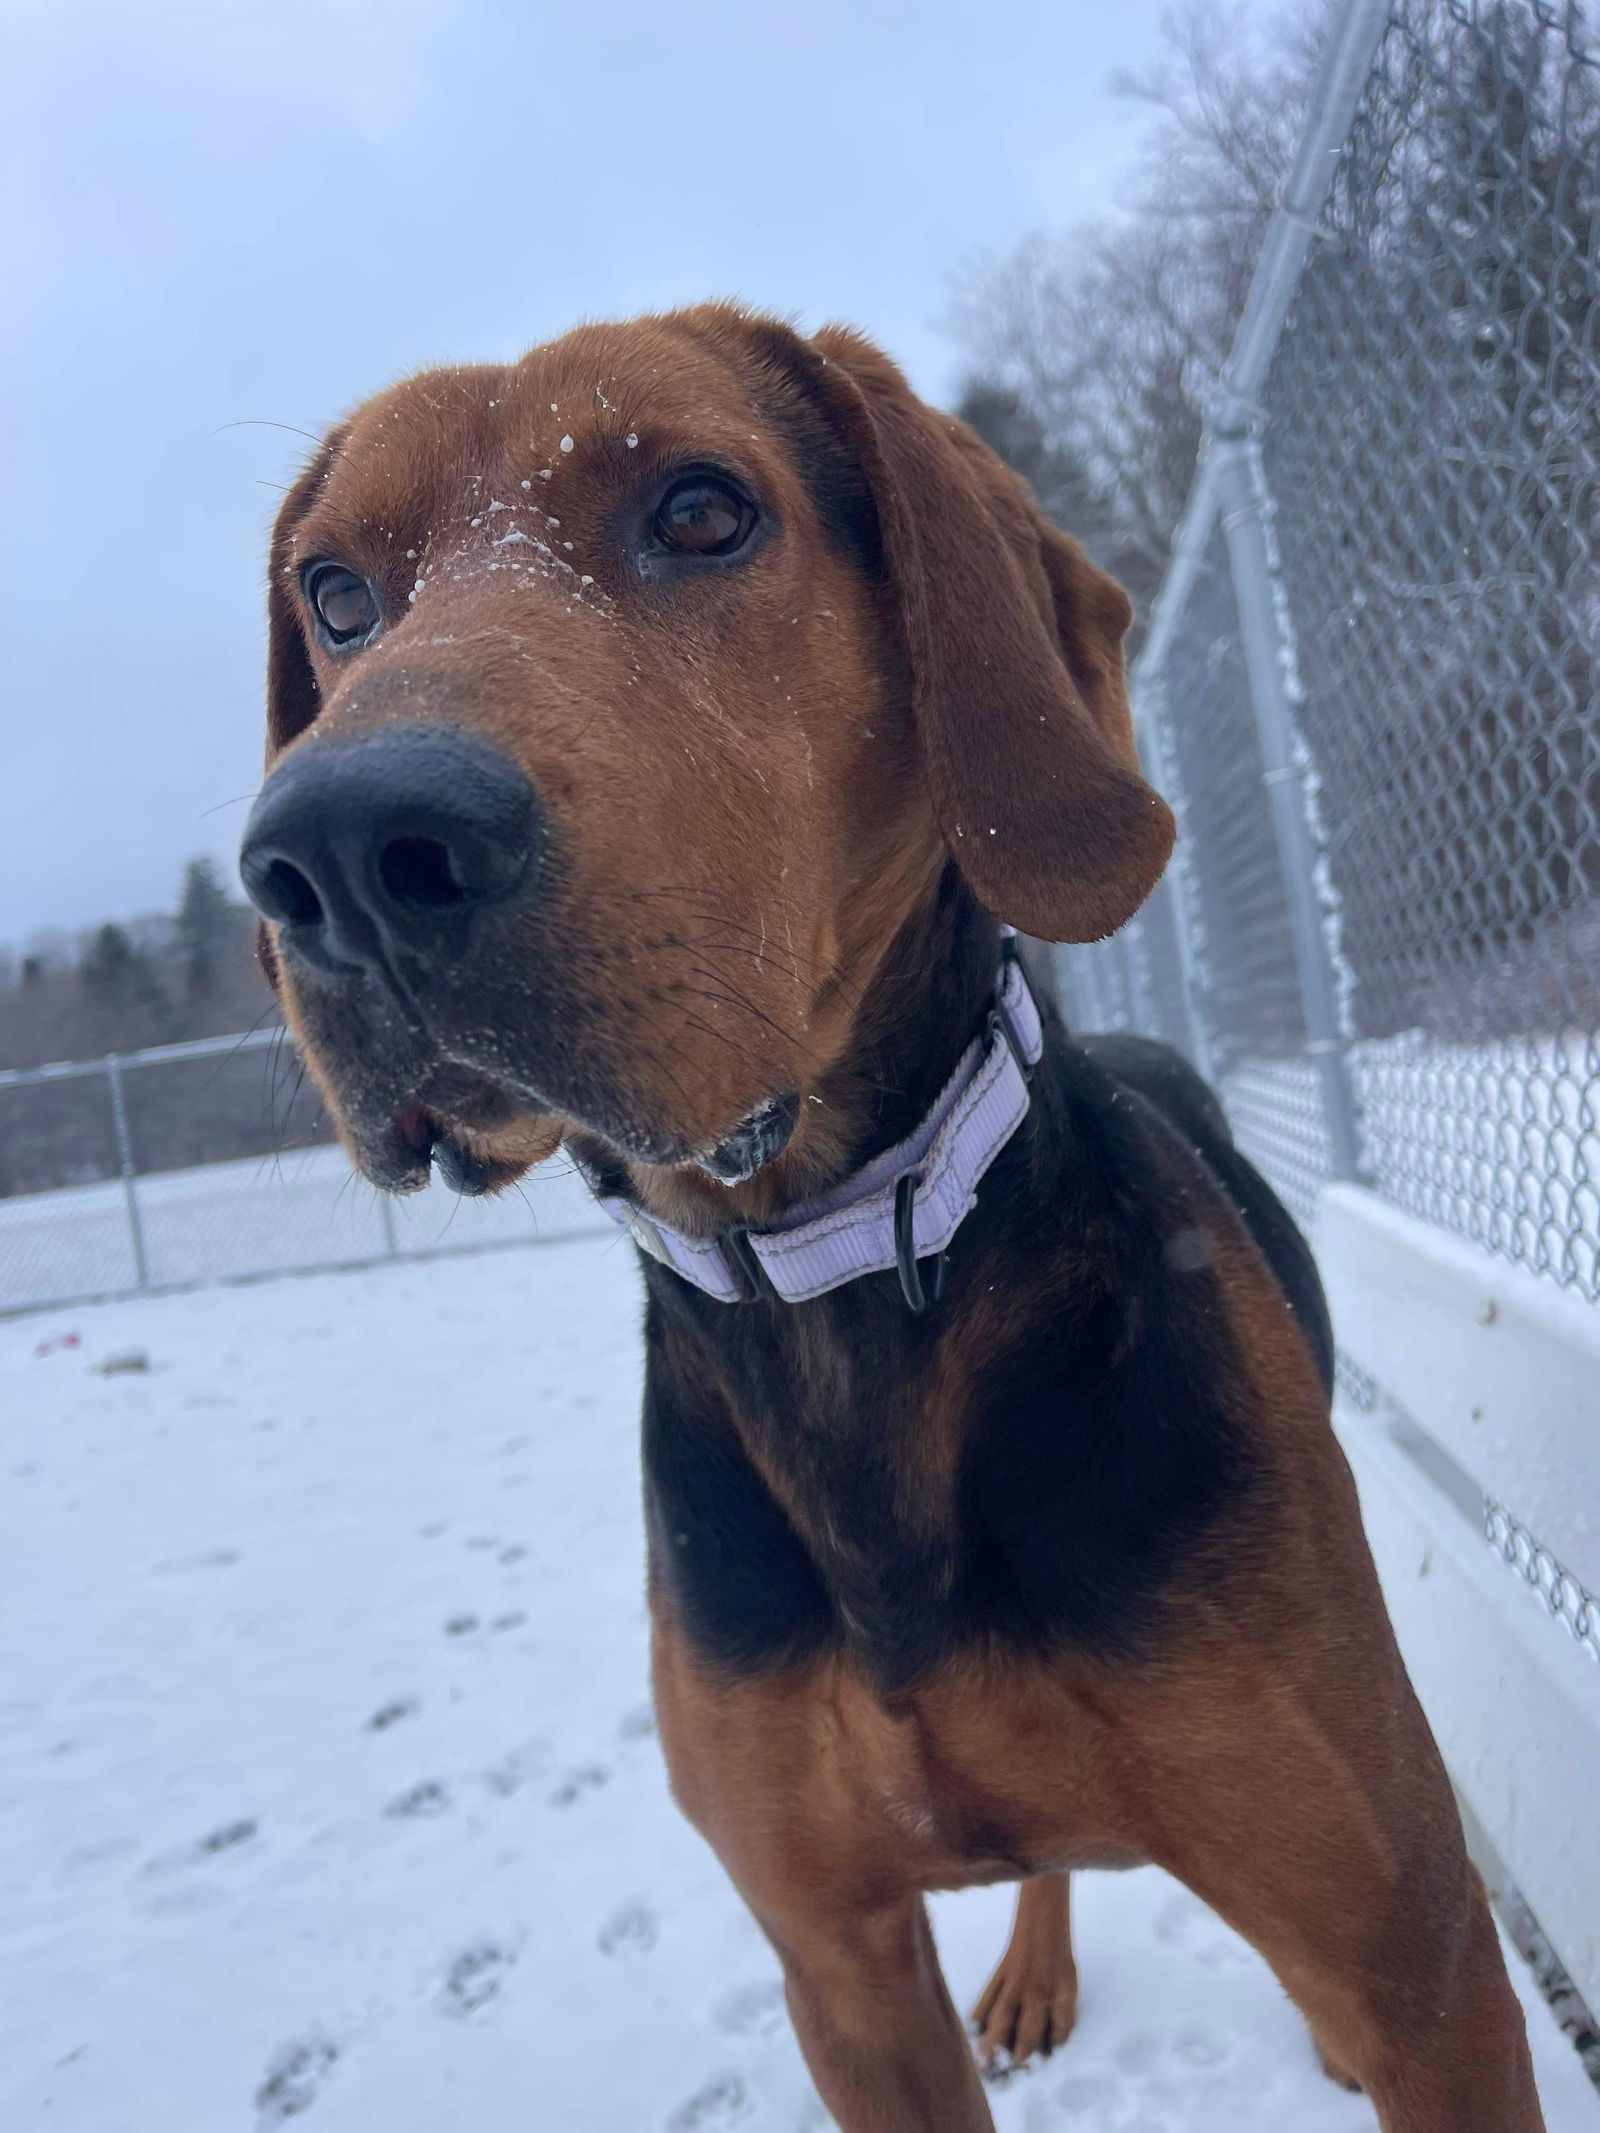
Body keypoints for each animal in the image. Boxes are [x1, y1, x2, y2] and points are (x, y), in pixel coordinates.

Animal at [244, 305, 1544, 2133]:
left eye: (704, 510)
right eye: (338, 594)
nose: (341, 851)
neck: (838, 1282)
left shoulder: (1415, 1947)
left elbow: (1388, 1974)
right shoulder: (840, 1965)